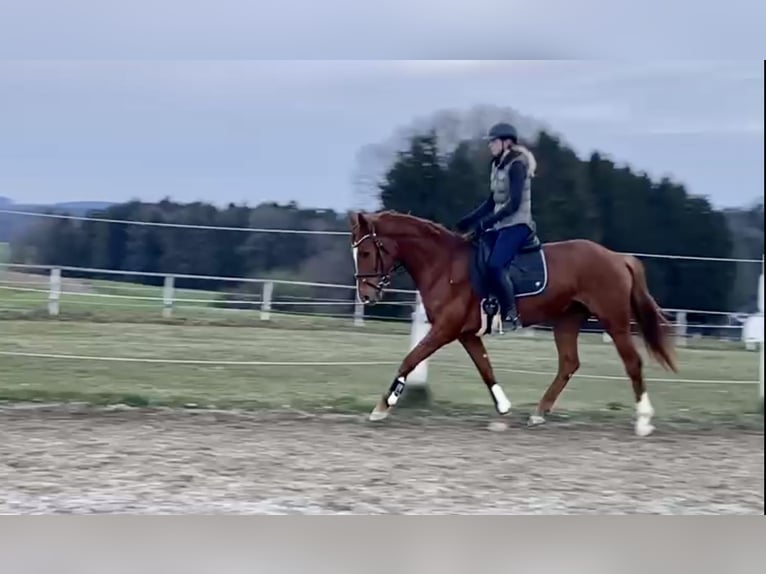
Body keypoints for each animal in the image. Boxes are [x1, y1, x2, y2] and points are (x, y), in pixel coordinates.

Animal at [348, 209, 678, 437]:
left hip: (614, 320)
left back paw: (644, 421)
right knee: (569, 364)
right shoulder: (466, 333)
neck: (444, 265)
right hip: (567, 320)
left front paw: (383, 406)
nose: (366, 295)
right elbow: (485, 368)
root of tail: (619, 257)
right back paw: (539, 413)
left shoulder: (445, 329)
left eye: (365, 252)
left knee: (632, 362)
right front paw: (503, 409)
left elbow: (411, 359)